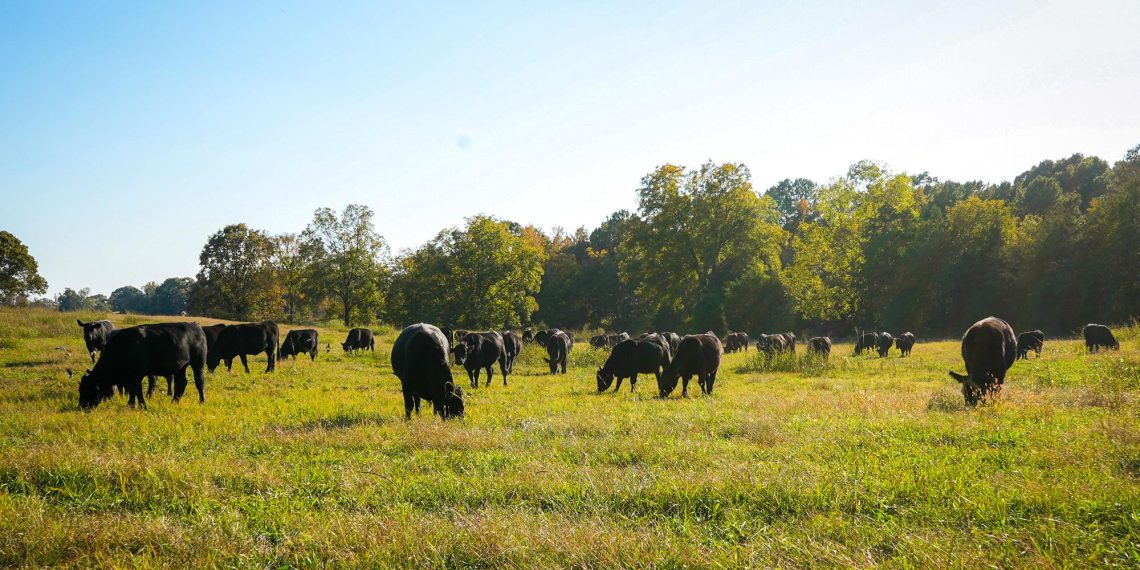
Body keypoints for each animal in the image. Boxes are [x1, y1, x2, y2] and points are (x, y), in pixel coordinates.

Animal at [78, 322, 207, 410]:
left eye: (88, 390)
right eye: (80, 389)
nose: (81, 407)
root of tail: (195, 325)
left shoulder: (137, 374)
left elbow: (136, 390)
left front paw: (136, 405)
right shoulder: (131, 377)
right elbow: (134, 390)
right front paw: (134, 405)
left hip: (198, 363)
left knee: (199, 382)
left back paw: (202, 401)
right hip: (181, 367)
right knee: (181, 383)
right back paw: (174, 402)